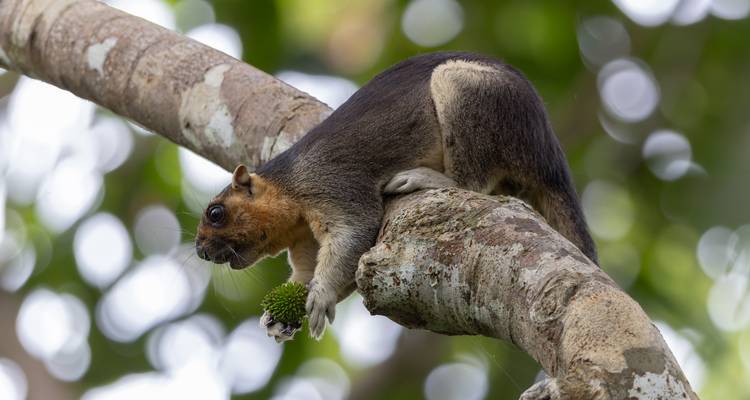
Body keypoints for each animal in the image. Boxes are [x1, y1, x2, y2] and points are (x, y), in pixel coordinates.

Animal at [195, 51, 597, 341]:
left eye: (216, 213)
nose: (200, 251)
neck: (289, 188)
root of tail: (550, 155)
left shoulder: (334, 184)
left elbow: (353, 235)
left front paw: (320, 297)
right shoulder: (305, 239)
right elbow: (312, 270)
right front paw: (277, 316)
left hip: (469, 95)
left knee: (473, 181)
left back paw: (425, 177)